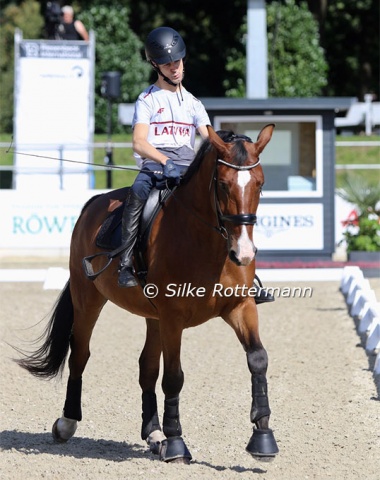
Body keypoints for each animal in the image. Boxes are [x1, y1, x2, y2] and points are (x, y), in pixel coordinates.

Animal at [15, 125, 280, 464]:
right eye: (222, 184)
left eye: (260, 183)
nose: (243, 253)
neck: (206, 243)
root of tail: (95, 202)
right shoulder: (173, 318)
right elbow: (174, 377)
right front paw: (177, 443)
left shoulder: (240, 306)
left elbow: (258, 359)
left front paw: (263, 438)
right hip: (88, 300)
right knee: (81, 355)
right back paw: (67, 422)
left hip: (152, 317)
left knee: (147, 368)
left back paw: (154, 434)